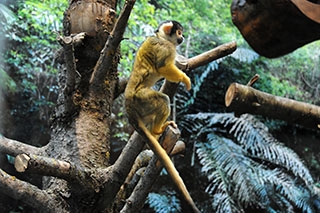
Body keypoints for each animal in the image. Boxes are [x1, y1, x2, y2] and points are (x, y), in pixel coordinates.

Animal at [125, 20, 200, 213]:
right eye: (179, 33)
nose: (182, 38)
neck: (161, 37)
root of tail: (128, 106)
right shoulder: (166, 48)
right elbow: (163, 67)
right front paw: (185, 79)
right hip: (142, 99)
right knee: (163, 100)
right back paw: (159, 129)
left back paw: (155, 131)